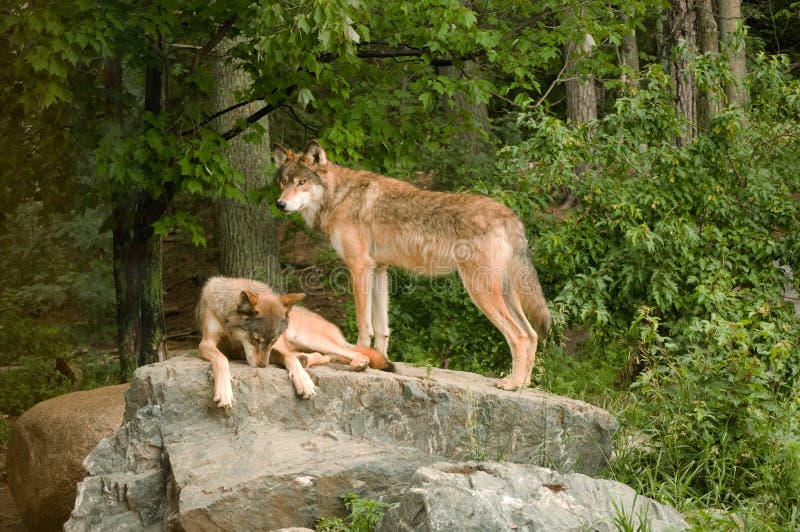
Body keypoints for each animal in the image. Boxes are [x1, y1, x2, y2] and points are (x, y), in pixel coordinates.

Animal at [274, 141, 552, 390]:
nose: (280, 204)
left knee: (519, 336)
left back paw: (511, 384)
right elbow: (382, 328)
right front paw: (380, 362)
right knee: (532, 334)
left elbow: (364, 325)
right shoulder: (379, 270)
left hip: (480, 292)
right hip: (505, 294)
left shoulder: (359, 267)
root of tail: (510, 214)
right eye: (284, 182)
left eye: (302, 182)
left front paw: (359, 360)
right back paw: (524, 384)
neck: (339, 196)